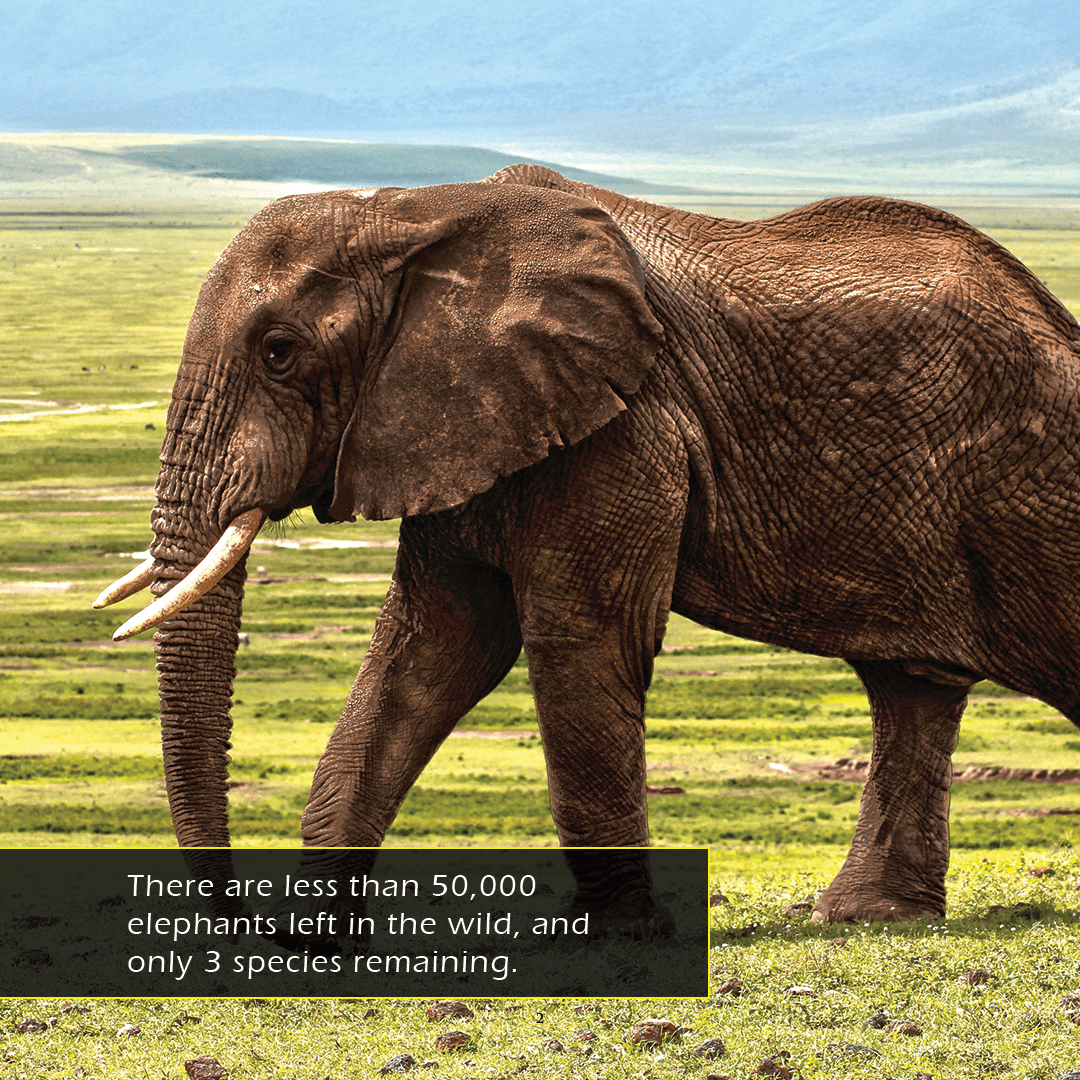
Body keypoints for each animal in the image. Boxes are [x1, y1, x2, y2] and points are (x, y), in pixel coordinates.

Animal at [94, 162, 1080, 924]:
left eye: (279, 351)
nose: (240, 917)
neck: (413, 211)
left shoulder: (624, 428)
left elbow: (575, 639)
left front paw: (624, 938)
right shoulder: (461, 422)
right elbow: (434, 648)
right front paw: (321, 944)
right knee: (910, 688)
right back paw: (868, 918)